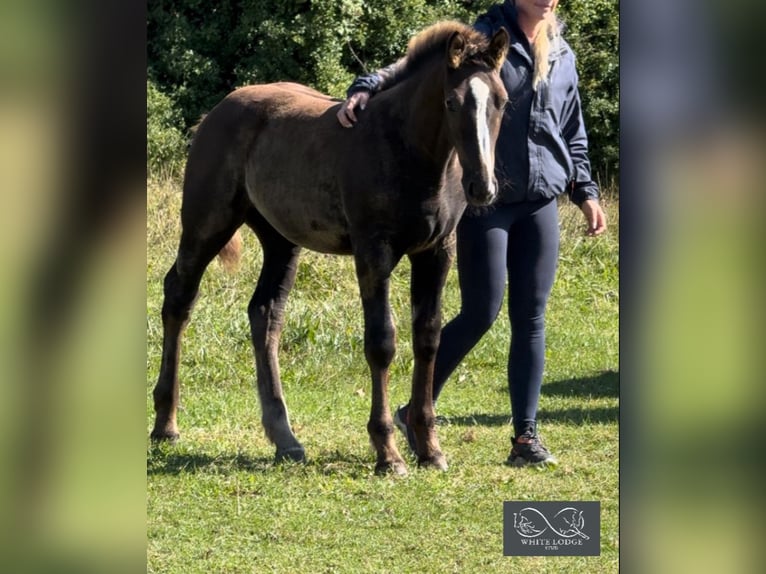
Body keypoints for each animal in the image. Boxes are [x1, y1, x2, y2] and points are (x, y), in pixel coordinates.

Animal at [150, 21, 510, 476]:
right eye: (451, 101)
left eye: (501, 101)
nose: (482, 187)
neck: (409, 152)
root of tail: (217, 111)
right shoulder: (373, 251)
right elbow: (382, 341)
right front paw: (388, 453)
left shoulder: (436, 251)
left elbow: (429, 337)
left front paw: (430, 448)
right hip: (206, 223)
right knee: (179, 296)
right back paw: (166, 424)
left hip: (281, 241)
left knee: (265, 313)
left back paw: (284, 438)